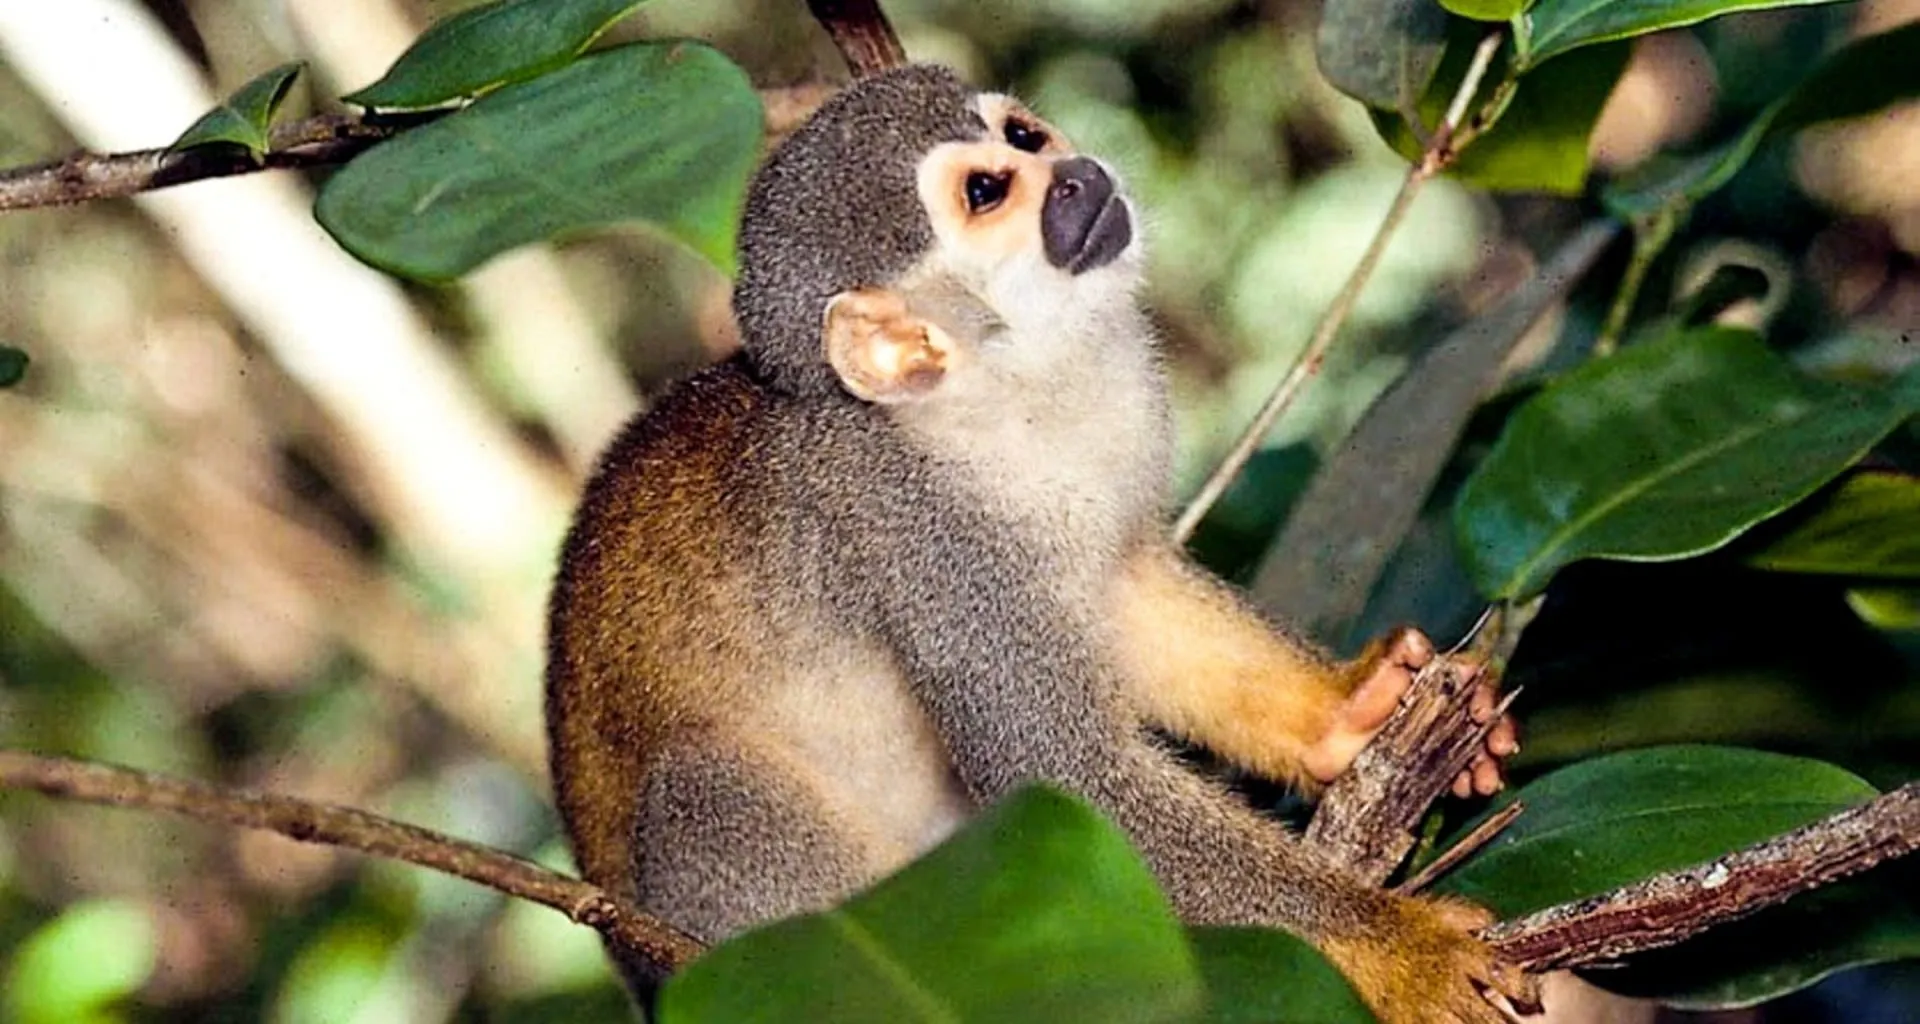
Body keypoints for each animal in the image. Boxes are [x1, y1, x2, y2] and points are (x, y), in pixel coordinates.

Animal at [545, 64, 1529, 1022]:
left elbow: (1125, 592)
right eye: (987, 192)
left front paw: (1347, 713)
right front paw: (1396, 948)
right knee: (701, 791)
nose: (1076, 174)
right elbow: (1064, 772)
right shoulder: (926, 538)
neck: (998, 394)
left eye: (1023, 134)